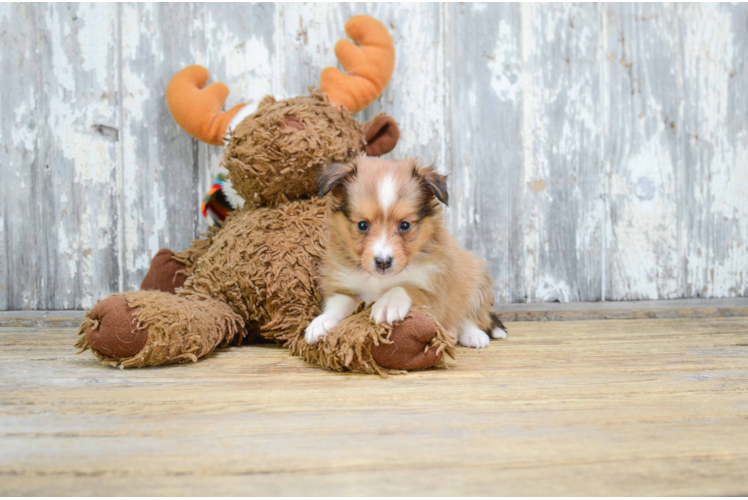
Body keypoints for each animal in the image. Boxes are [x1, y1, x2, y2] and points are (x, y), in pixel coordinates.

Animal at [304, 155, 508, 348]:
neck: (380, 280)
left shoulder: (435, 293)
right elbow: (339, 303)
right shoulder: (344, 285)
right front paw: (320, 322)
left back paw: (472, 335)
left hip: (476, 280)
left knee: (470, 316)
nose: (383, 262)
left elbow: (405, 287)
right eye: (362, 225)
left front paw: (387, 303)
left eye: (404, 225)